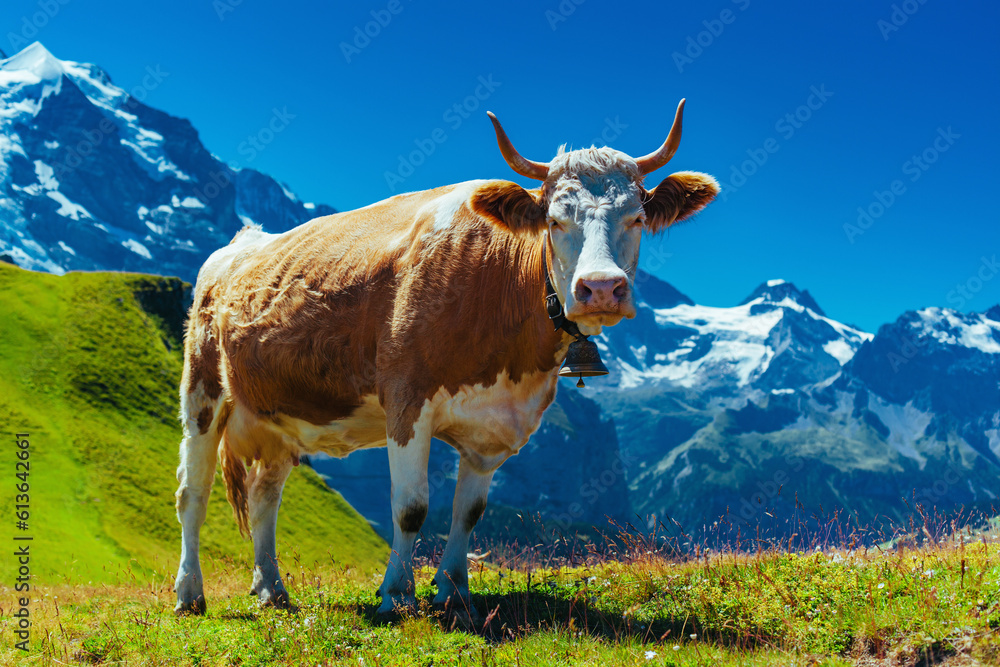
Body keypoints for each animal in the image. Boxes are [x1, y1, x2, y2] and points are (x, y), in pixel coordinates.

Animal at [174, 100, 720, 620]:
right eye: (554, 220)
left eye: (637, 217)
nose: (601, 288)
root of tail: (242, 241)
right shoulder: (406, 400)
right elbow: (411, 507)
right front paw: (396, 595)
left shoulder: (494, 425)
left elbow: (469, 513)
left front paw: (455, 593)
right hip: (202, 393)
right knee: (192, 494)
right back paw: (190, 594)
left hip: (281, 416)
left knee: (265, 496)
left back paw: (272, 591)